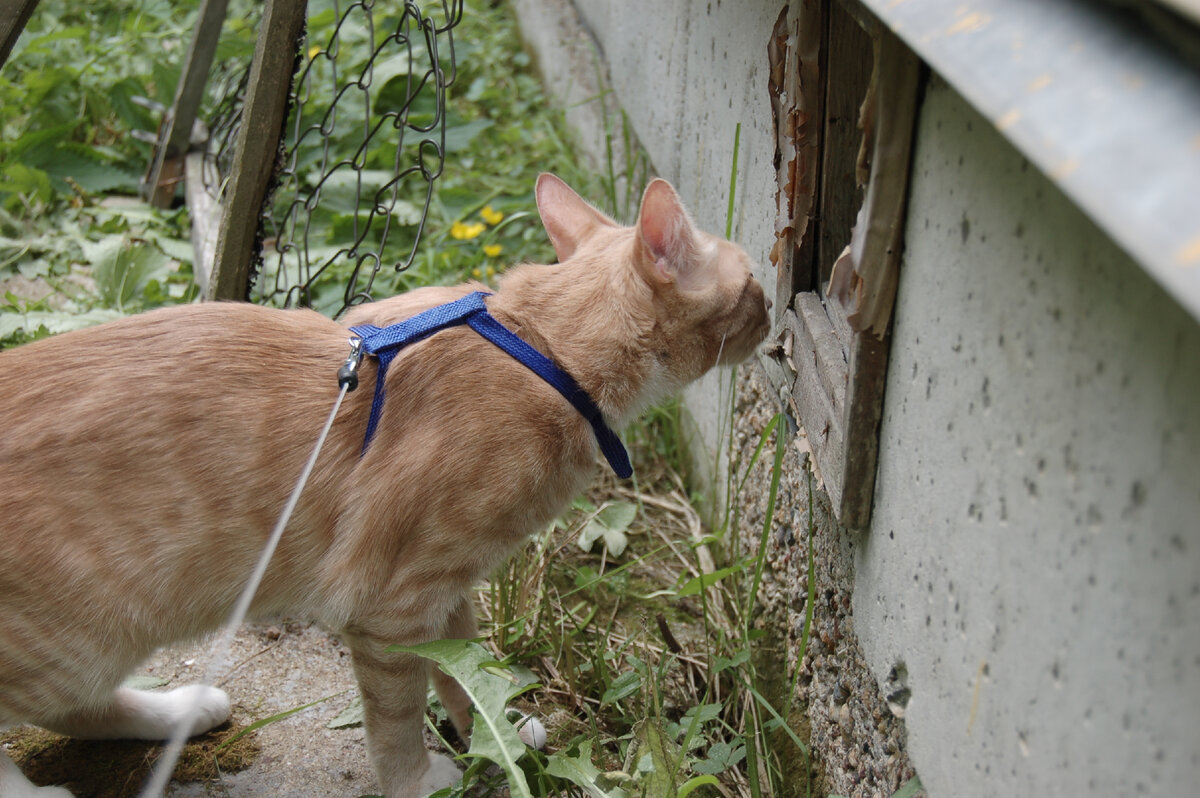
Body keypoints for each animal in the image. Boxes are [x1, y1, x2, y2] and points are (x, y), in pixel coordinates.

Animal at [0, 174, 768, 796]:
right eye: (755, 283)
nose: (771, 313)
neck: (542, 349)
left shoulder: (444, 586)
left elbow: (461, 666)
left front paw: (498, 732)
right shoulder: (389, 603)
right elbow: (397, 714)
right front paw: (417, 780)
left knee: (73, 706)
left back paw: (181, 709)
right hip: (77, 634)